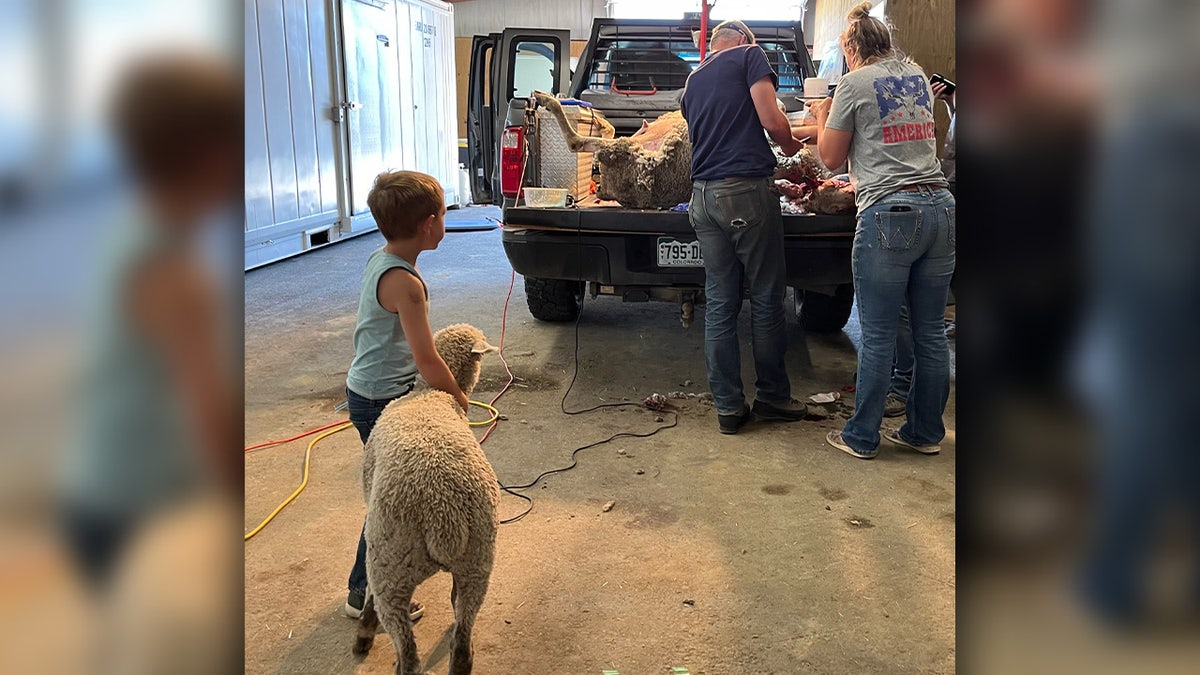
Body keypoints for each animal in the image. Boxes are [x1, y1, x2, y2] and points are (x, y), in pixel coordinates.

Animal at [355, 324, 501, 667]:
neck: (431, 393)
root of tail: (443, 514)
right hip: (477, 562)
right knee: (461, 640)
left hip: (391, 564)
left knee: (407, 653)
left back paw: (368, 635)